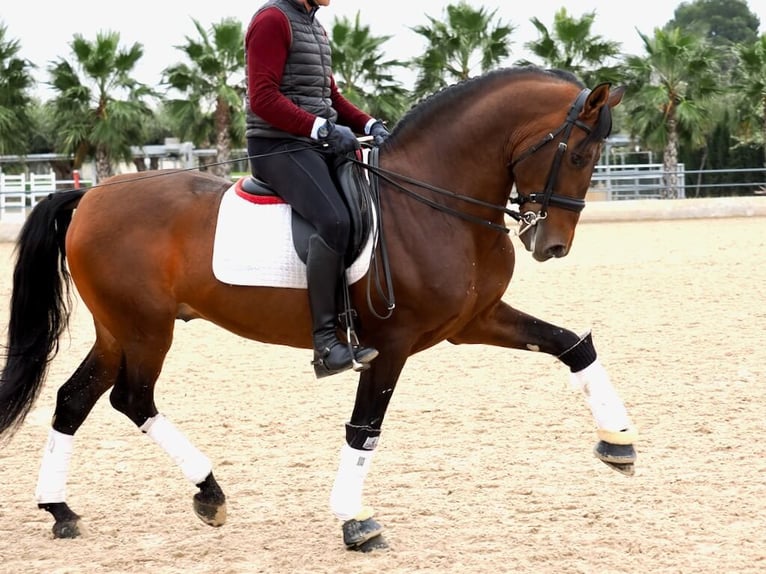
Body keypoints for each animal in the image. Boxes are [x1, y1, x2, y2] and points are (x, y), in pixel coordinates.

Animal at [0, 67, 636, 552]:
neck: (430, 201)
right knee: (131, 399)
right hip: (145, 329)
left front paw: (619, 442)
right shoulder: (391, 344)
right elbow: (365, 427)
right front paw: (355, 521)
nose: (551, 244)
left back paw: (64, 509)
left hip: (119, 330)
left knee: (75, 399)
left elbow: (572, 344)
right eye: (578, 153)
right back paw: (207, 492)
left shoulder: (473, 321)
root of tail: (89, 195)